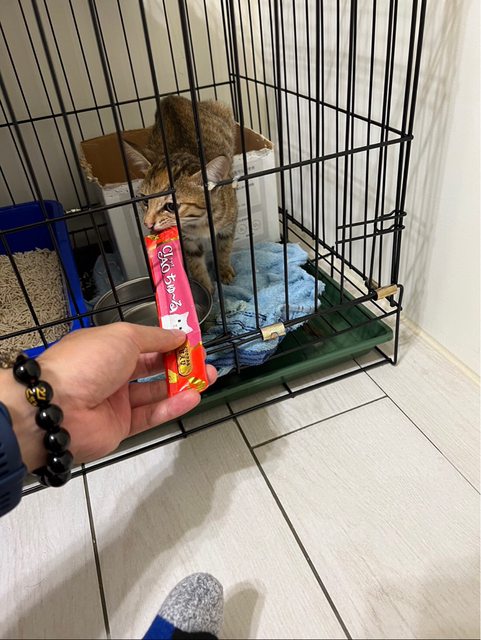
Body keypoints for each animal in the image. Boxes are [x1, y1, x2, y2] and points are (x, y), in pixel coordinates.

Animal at [123, 95, 238, 294]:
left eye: (171, 206)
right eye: (145, 202)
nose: (147, 224)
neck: (200, 222)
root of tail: (171, 98)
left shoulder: (229, 224)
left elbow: (224, 248)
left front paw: (224, 271)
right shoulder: (187, 241)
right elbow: (196, 265)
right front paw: (208, 291)